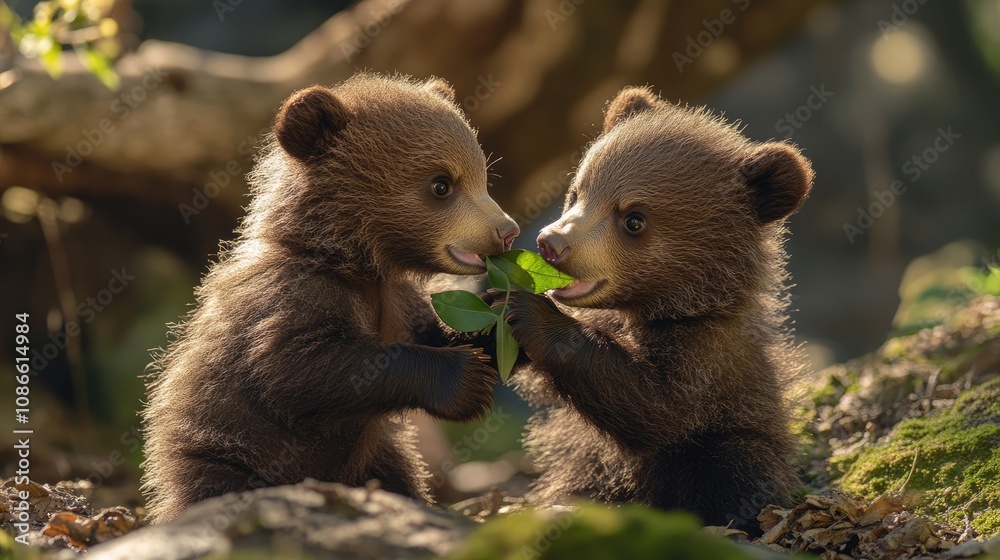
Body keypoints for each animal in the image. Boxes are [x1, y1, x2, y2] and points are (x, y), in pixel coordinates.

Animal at [140, 73, 519, 522]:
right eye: (441, 183)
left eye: (483, 174)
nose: (507, 230)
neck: (356, 262)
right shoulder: (294, 297)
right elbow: (298, 368)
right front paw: (466, 379)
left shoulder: (400, 300)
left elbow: (439, 329)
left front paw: (510, 324)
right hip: (225, 451)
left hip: (374, 457)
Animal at [500, 86, 812, 531]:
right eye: (576, 193)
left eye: (634, 219)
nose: (551, 243)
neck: (644, 309)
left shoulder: (706, 349)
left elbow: (658, 408)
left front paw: (530, 311)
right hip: (581, 455)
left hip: (735, 438)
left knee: (732, 465)